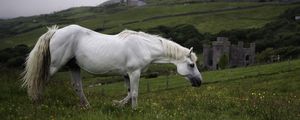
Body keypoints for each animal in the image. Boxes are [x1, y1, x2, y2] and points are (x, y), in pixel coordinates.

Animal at [22, 24, 203, 109]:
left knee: (77, 87)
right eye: (191, 64)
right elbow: (135, 93)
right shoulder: (134, 73)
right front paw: (134, 110)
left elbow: (129, 93)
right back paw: (37, 103)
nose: (199, 82)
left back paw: (87, 107)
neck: (143, 46)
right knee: (39, 81)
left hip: (73, 66)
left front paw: (118, 105)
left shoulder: (126, 74)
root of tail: (55, 32)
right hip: (54, 67)